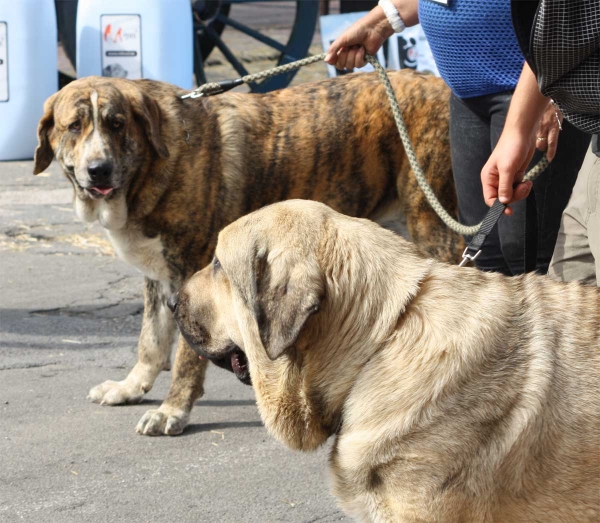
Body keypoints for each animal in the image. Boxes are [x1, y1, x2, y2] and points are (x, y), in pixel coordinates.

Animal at [34, 70, 464, 438]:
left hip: (433, 222)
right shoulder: (158, 278)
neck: (153, 164)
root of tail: (441, 84)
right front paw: (130, 387)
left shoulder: (193, 274)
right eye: (74, 127)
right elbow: (151, 340)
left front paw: (172, 410)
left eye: (117, 124)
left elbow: (185, 358)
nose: (99, 169)